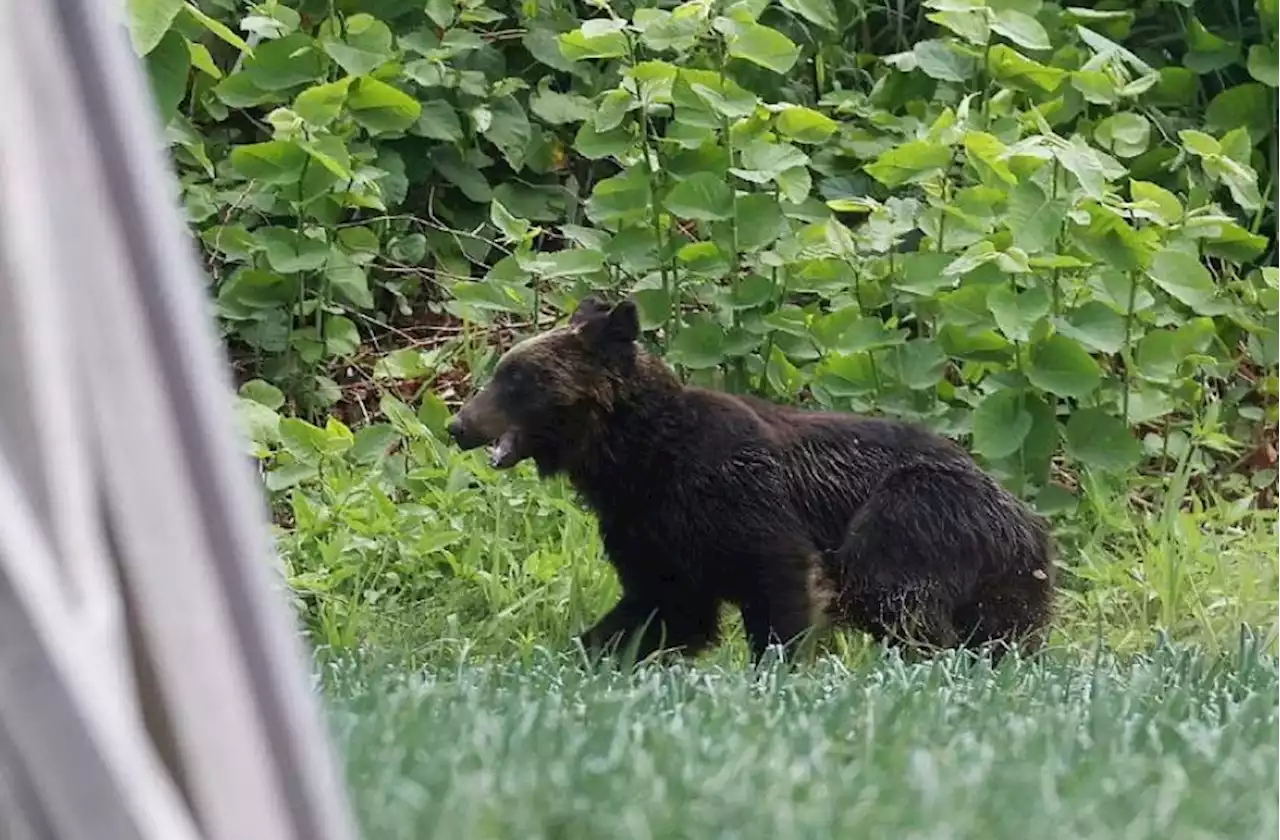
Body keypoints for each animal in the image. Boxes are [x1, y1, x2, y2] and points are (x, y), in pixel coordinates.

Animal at [445, 295, 1054, 660]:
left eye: (516, 377)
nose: (457, 424)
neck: (638, 459)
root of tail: (1029, 519)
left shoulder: (740, 497)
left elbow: (779, 586)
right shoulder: (647, 530)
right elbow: (661, 610)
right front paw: (581, 654)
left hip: (916, 514)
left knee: (894, 596)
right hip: (1006, 581)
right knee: (1002, 633)